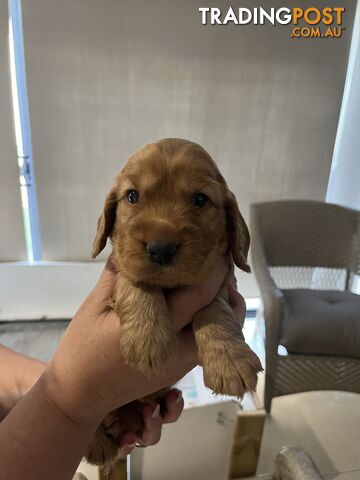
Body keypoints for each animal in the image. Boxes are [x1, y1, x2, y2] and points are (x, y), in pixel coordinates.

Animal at [86, 138, 262, 464]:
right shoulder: (120, 265)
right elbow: (135, 282)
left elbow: (215, 307)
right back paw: (99, 440)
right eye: (132, 196)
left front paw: (228, 361)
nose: (161, 249)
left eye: (200, 199)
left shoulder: (221, 279)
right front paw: (147, 340)